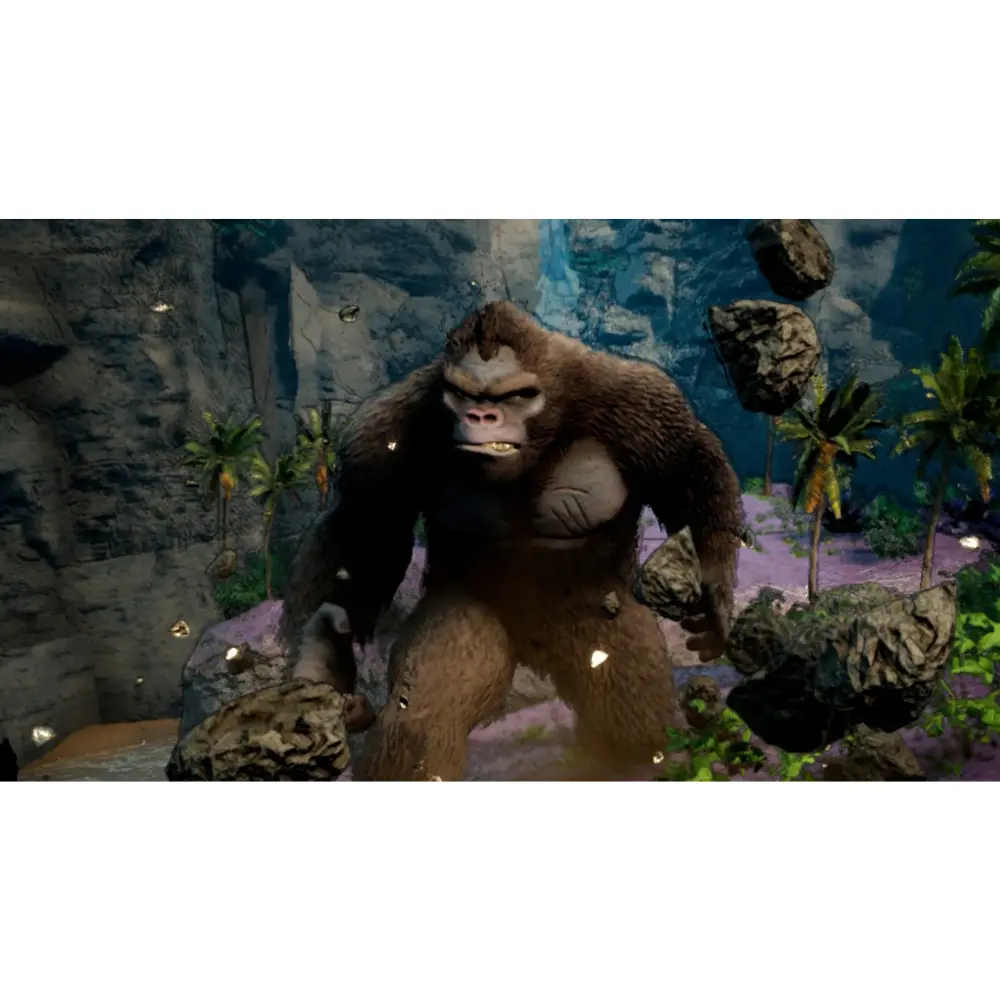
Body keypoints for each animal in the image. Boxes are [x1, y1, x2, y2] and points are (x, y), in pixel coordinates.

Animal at [278, 301, 744, 780]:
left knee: (634, 728)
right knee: (425, 713)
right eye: (462, 394)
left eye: (514, 396)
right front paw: (321, 661)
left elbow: (688, 464)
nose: (481, 417)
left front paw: (714, 593)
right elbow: (366, 526)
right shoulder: (384, 430)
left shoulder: (640, 398)